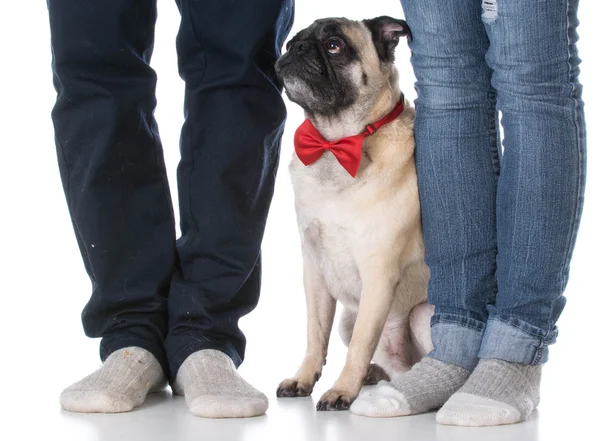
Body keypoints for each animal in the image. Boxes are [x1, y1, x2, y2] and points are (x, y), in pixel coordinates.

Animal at [274, 16, 434, 410]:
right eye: (291, 42)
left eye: (334, 45)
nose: (296, 49)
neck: (334, 143)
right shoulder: (315, 271)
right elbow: (315, 334)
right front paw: (304, 378)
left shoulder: (378, 273)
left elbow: (361, 344)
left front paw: (342, 390)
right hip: (348, 319)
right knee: (393, 368)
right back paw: (376, 375)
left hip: (422, 315)